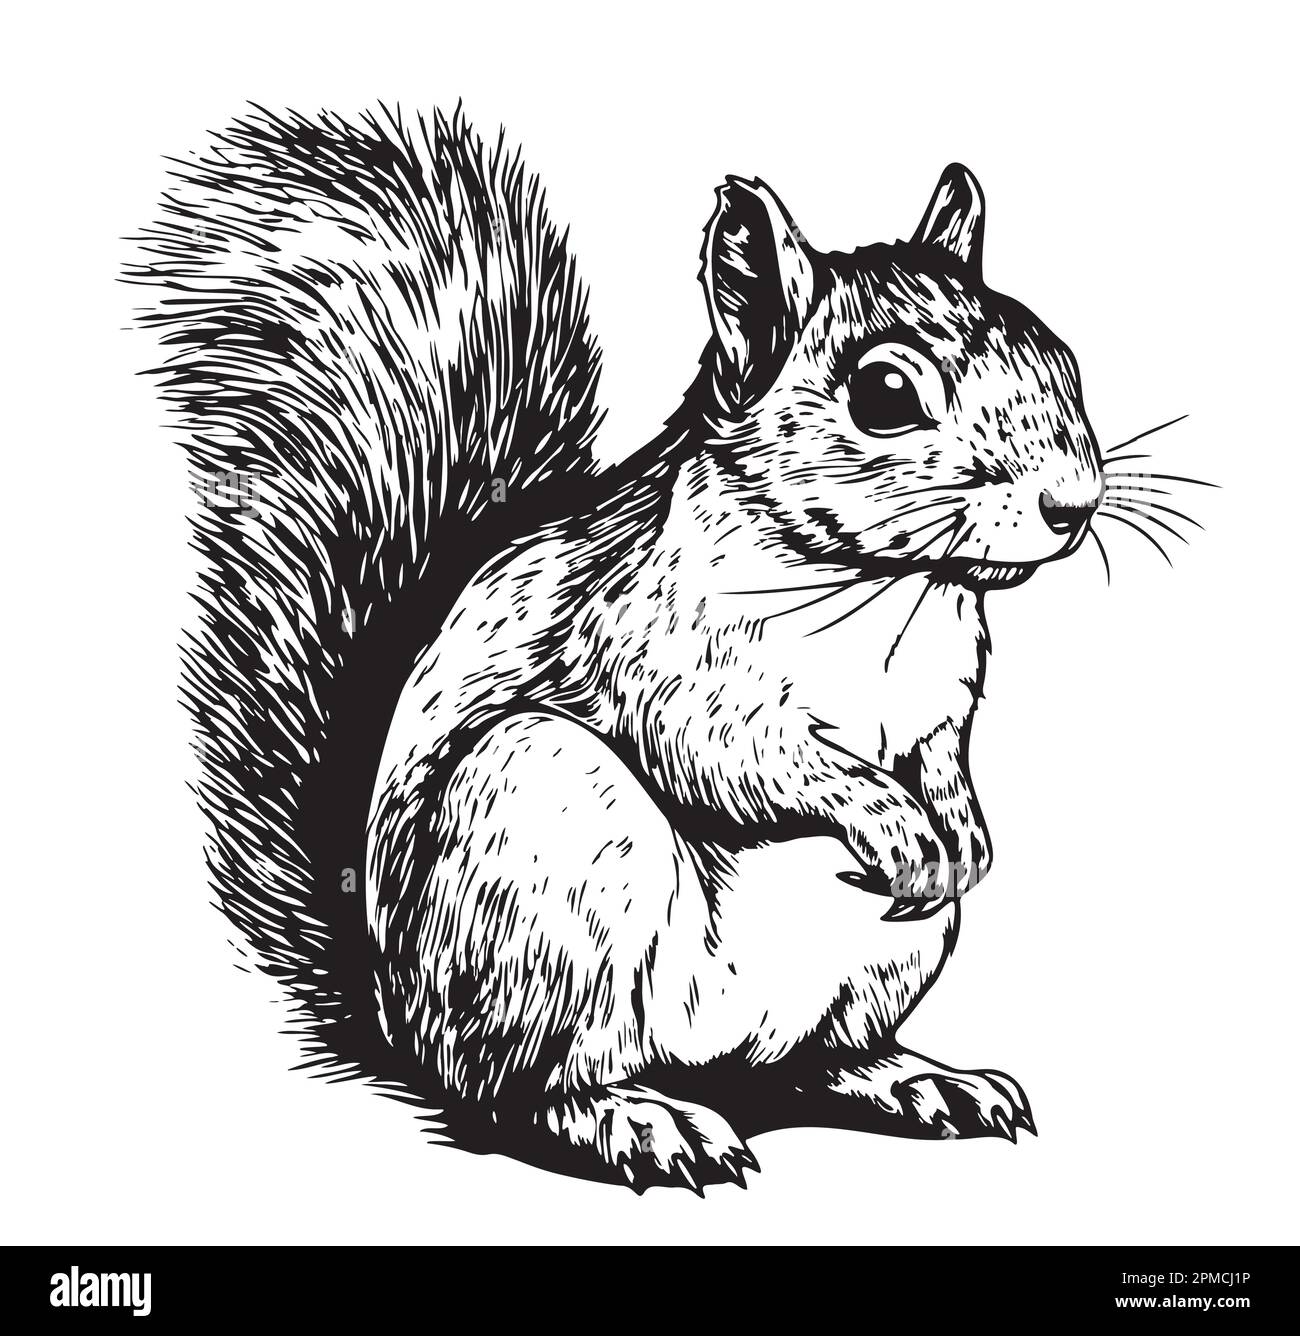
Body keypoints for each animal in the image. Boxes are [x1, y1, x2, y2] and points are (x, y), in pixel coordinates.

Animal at [128, 105, 1110, 1193]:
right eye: (885, 393)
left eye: (1060, 356)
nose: (1073, 504)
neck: (885, 593)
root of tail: (394, 1012)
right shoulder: (656, 655)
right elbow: (737, 758)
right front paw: (893, 822)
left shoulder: (940, 698)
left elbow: (939, 756)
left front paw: (963, 831)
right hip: (540, 842)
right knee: (510, 1089)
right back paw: (633, 1119)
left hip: (874, 966)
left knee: (810, 1062)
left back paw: (915, 1081)